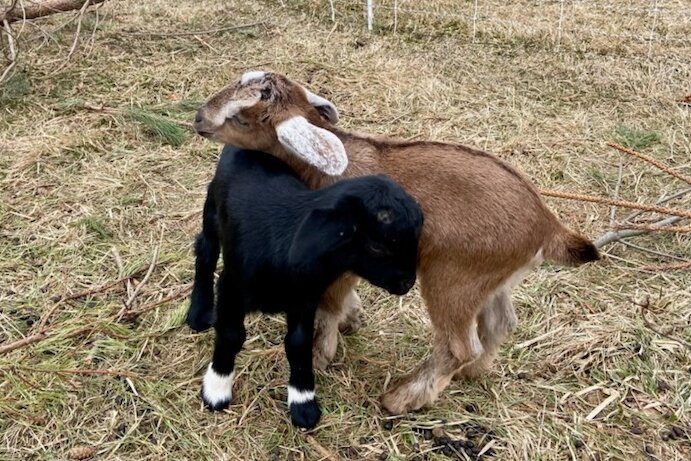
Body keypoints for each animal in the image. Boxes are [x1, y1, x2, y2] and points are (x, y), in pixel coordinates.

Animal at [193, 71, 600, 414]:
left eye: (243, 119)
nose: (198, 119)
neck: (321, 167)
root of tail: (546, 225)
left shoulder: (340, 262)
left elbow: (329, 304)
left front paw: (321, 354)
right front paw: (353, 320)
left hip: (452, 279)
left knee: (458, 347)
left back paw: (402, 399)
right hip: (491, 280)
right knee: (500, 324)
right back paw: (472, 374)